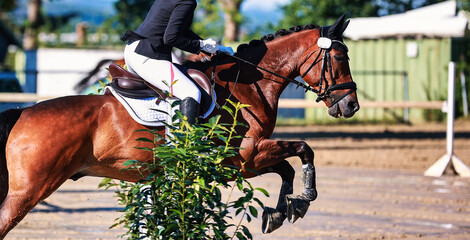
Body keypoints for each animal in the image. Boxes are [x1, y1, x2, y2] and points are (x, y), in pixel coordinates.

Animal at [0, 15, 358, 238]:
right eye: (341, 58)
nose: (351, 105)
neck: (247, 86)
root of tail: (22, 112)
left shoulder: (247, 161)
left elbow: (287, 167)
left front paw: (281, 212)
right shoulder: (243, 158)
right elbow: (303, 150)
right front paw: (305, 196)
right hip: (29, 190)